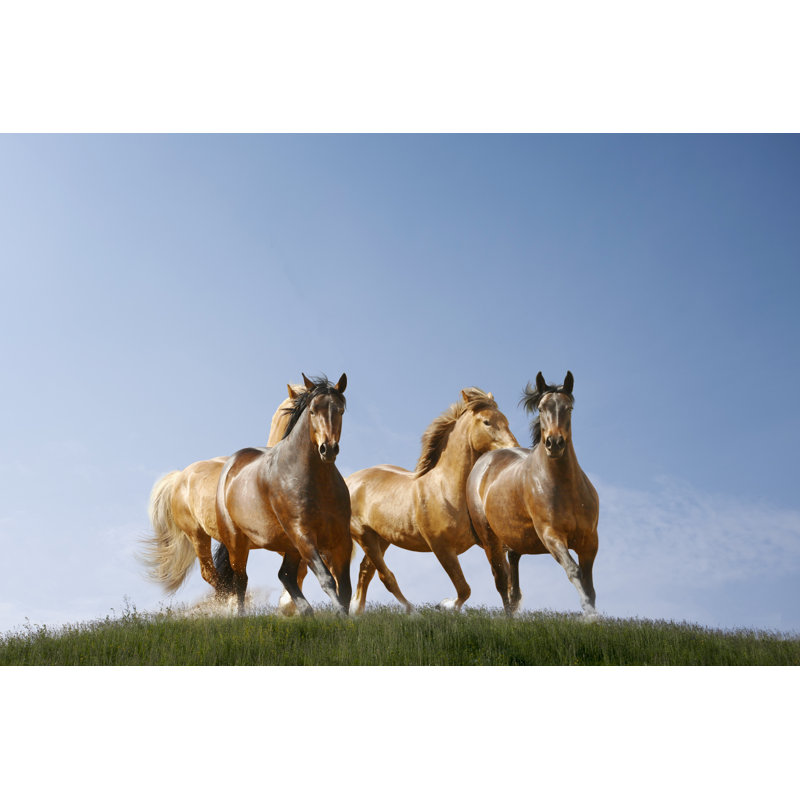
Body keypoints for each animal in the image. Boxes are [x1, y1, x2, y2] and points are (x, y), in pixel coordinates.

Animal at [215, 374, 352, 616]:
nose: (328, 449)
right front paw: (340, 616)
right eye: (312, 411)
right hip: (237, 542)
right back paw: (241, 616)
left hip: (290, 546)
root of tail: (231, 464)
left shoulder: (341, 538)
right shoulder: (303, 535)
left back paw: (306, 612)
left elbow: (345, 587)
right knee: (241, 581)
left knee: (285, 575)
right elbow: (327, 579)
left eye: (341, 410)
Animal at [347, 387, 519, 614]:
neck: (446, 489)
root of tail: (348, 481)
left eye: (506, 420)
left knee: (366, 572)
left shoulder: (488, 543)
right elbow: (464, 589)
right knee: (386, 576)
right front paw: (445, 605)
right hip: (364, 535)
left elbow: (503, 580)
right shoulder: (441, 547)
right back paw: (412, 612)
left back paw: (356, 613)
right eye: (487, 422)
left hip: (381, 538)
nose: (513, 448)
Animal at [466, 371, 599, 617]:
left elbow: (589, 584)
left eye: (569, 408)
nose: (554, 443)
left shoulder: (589, 541)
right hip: (490, 540)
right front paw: (589, 616)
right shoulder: (551, 535)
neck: (566, 489)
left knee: (513, 577)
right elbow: (573, 571)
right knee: (501, 581)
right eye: (540, 408)